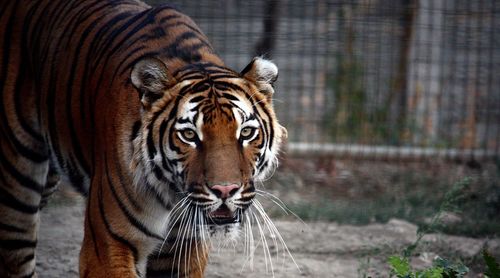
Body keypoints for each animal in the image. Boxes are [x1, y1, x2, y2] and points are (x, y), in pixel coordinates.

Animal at [0, 0, 288, 276]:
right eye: (189, 135)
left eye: (246, 132)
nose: (225, 191)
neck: (173, 196)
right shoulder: (107, 247)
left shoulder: (183, 251)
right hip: (17, 187)